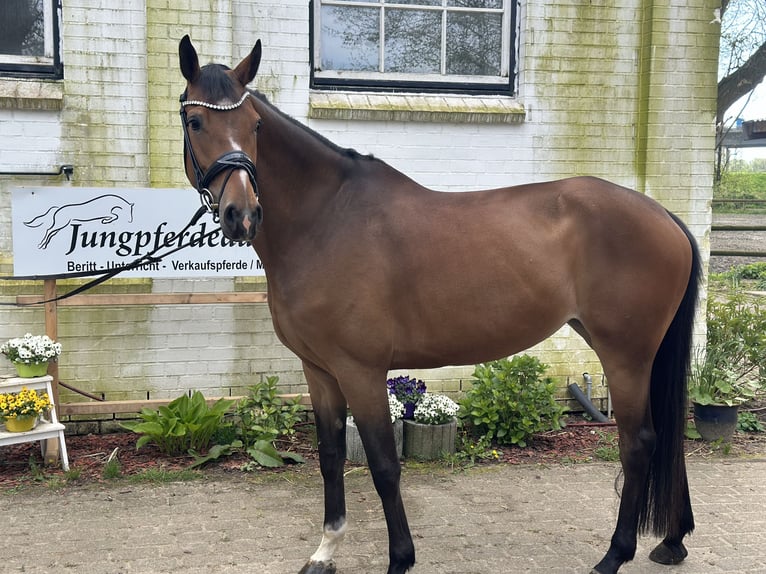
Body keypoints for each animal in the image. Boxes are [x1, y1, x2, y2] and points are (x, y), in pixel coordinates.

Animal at [178, 37, 704, 574]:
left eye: (255, 126)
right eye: (194, 121)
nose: (242, 214)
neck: (325, 219)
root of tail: (664, 215)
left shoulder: (361, 370)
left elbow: (384, 466)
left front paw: (400, 559)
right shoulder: (319, 370)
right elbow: (329, 456)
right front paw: (325, 550)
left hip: (625, 355)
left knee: (639, 443)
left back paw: (614, 555)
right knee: (667, 437)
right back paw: (671, 540)